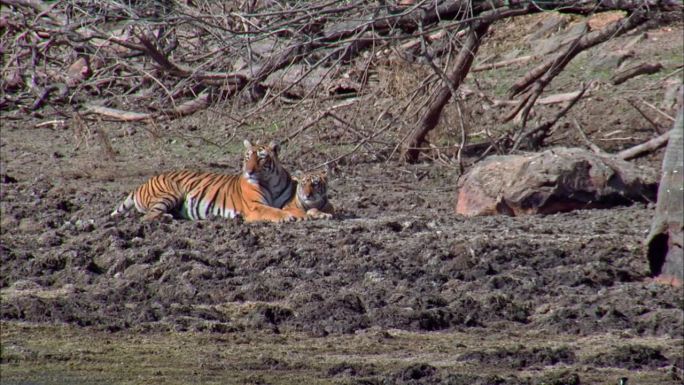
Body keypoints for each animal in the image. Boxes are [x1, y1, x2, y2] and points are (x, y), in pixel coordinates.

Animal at [111, 140, 296, 220]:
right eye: (247, 157)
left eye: (261, 158)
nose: (248, 171)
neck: (271, 183)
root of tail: (144, 182)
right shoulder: (255, 206)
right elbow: (272, 211)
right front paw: (287, 217)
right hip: (169, 194)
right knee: (148, 217)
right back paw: (165, 219)